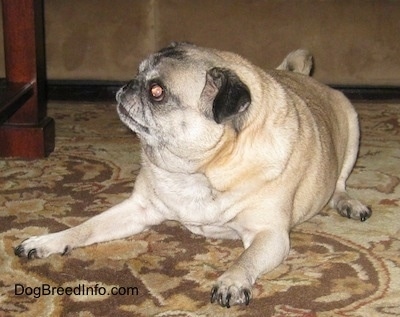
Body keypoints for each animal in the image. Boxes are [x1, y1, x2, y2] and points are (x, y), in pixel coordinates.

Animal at [15, 42, 372, 306]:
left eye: (156, 92)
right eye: (137, 72)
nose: (126, 86)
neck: (199, 169)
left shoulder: (270, 235)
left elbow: (246, 258)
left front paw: (232, 281)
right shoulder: (138, 210)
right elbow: (86, 227)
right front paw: (50, 240)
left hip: (352, 128)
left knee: (340, 183)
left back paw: (349, 204)